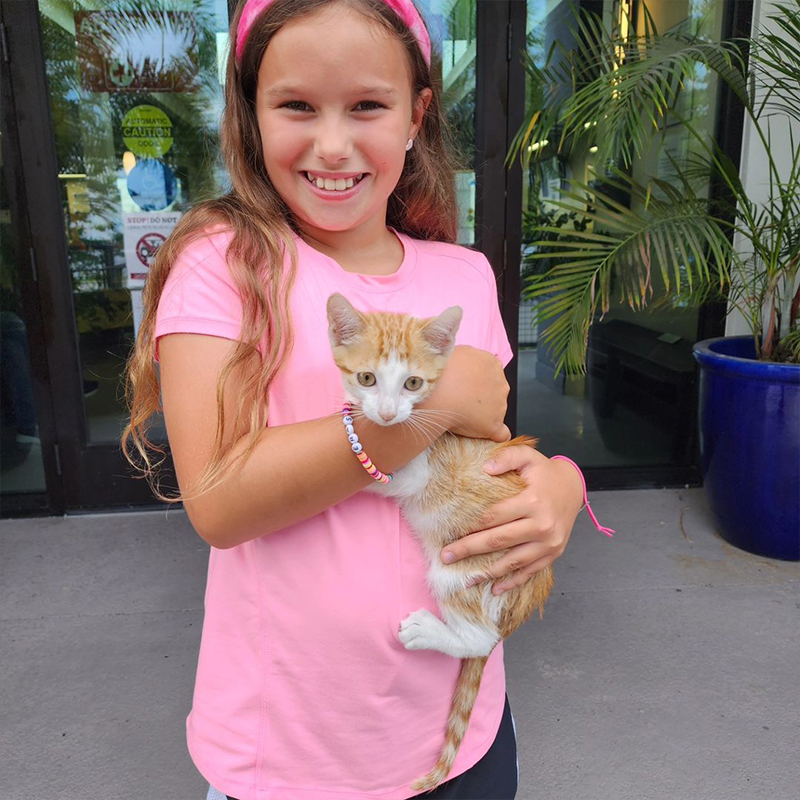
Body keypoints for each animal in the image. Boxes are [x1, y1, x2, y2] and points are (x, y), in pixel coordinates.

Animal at [328, 292, 552, 788]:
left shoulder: (419, 469)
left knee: (480, 637)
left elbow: (384, 478)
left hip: (463, 567)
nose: (386, 413)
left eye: (412, 383)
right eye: (368, 378)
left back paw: (430, 630)